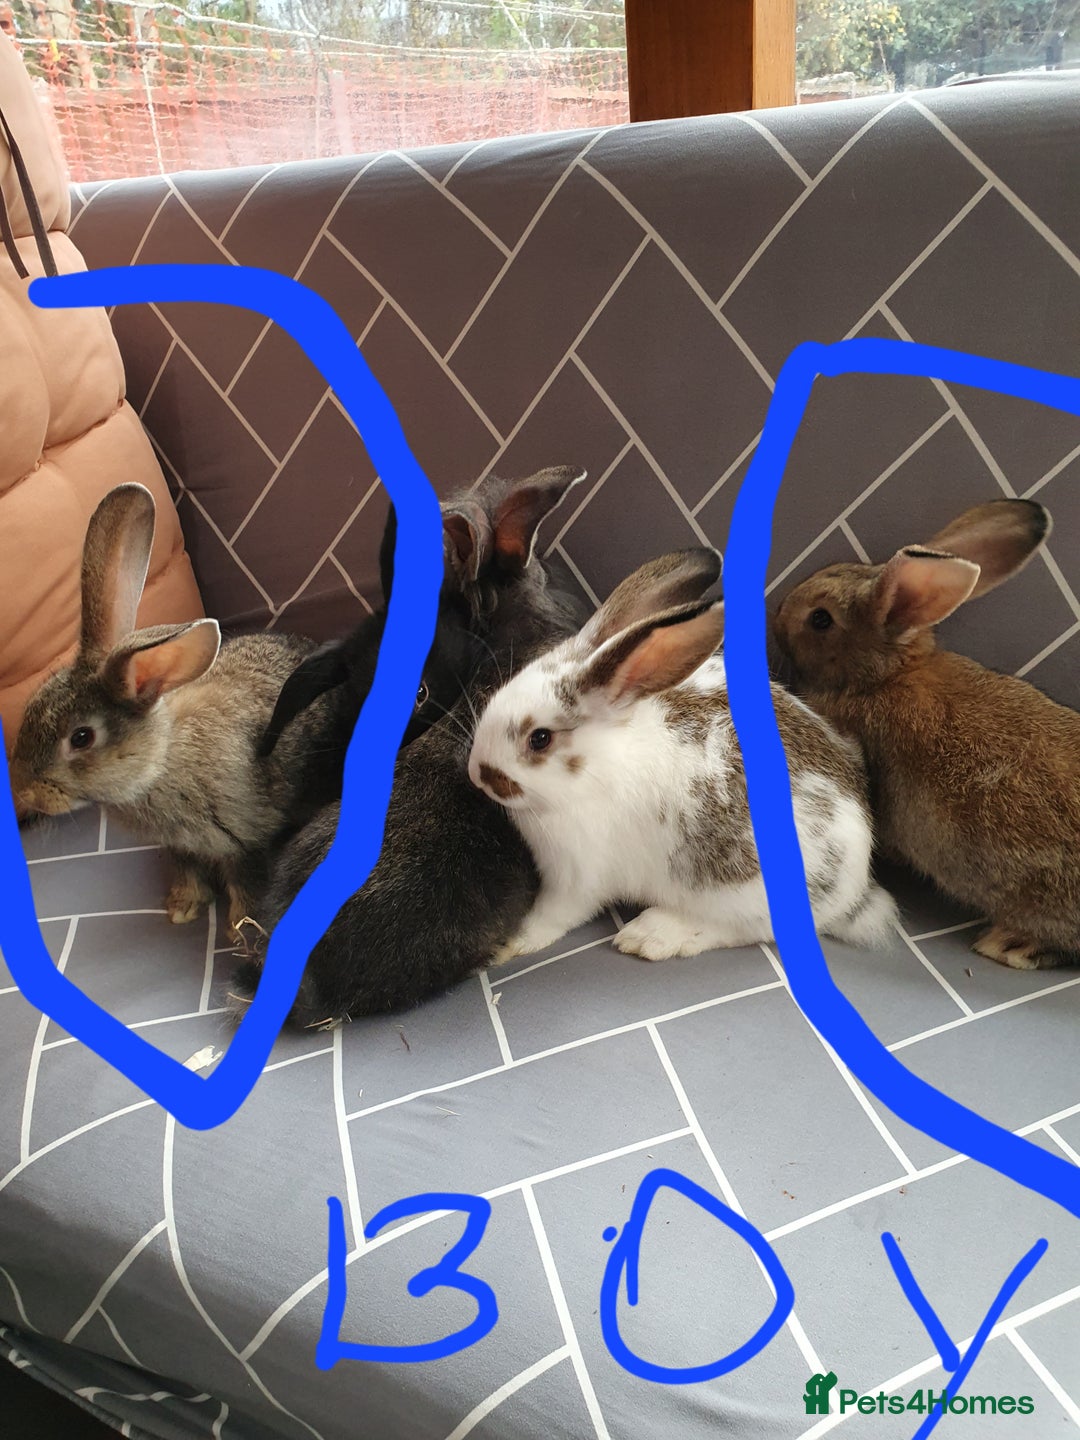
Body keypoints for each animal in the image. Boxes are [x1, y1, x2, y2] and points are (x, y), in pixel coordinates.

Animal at [467, 547, 898, 963]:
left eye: (539, 739)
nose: (477, 773)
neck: (595, 770)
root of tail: (856, 889)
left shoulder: (577, 876)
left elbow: (552, 916)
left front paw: (509, 944)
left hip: (739, 894)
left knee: (744, 930)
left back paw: (654, 935)